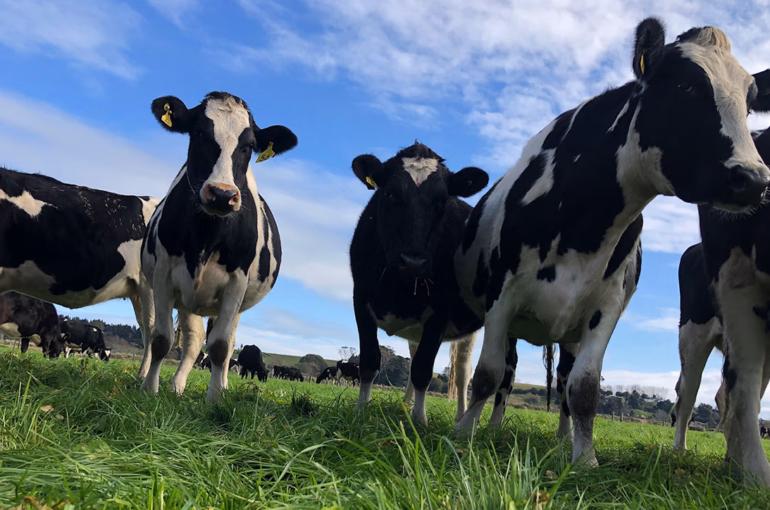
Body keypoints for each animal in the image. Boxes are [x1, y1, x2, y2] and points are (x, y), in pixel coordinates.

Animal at [139, 91, 297, 403]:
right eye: (199, 133)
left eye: (249, 146)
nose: (223, 195)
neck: (206, 234)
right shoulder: (163, 274)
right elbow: (162, 339)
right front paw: (150, 390)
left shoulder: (236, 282)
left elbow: (221, 347)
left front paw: (214, 400)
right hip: (184, 297)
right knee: (191, 340)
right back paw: (176, 387)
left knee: (224, 342)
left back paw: (220, 386)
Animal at [349, 141, 488, 425]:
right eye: (390, 193)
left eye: (442, 200)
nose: (414, 261)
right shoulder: (360, 299)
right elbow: (369, 361)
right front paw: (361, 409)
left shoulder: (440, 311)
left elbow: (423, 369)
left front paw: (420, 420)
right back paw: (405, 403)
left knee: (462, 372)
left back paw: (460, 416)